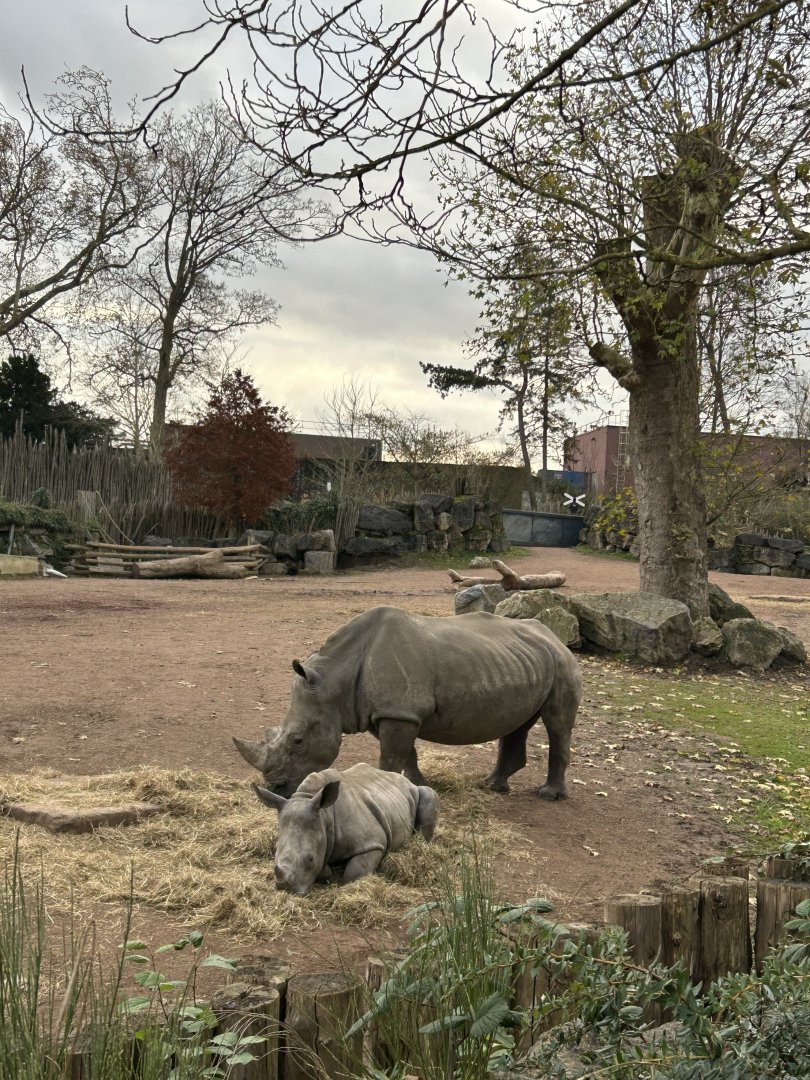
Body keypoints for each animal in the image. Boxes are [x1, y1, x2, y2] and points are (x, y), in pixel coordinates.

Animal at [234, 605, 581, 800]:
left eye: (298, 740)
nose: (276, 789)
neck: (335, 679)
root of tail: (554, 635)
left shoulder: (399, 713)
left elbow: (390, 758)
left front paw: (385, 790)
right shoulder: (386, 713)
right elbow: (407, 754)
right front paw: (418, 785)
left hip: (563, 662)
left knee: (557, 724)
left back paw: (549, 795)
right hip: (524, 661)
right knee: (518, 722)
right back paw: (493, 786)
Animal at [253, 762, 440, 895]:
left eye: (310, 859)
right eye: (274, 854)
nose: (285, 888)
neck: (325, 815)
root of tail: (404, 780)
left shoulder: (373, 843)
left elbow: (353, 874)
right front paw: (327, 871)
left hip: (417, 792)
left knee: (429, 795)